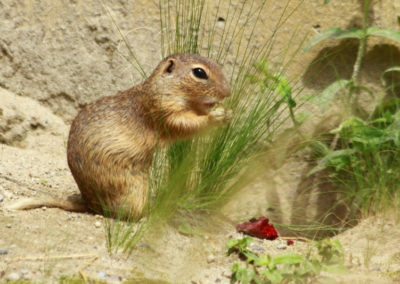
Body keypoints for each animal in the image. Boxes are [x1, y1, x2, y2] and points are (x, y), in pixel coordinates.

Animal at [7, 53, 231, 220]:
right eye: (199, 72)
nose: (228, 92)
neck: (162, 87)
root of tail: (90, 204)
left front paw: (226, 111)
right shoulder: (165, 112)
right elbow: (188, 124)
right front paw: (218, 115)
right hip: (135, 189)